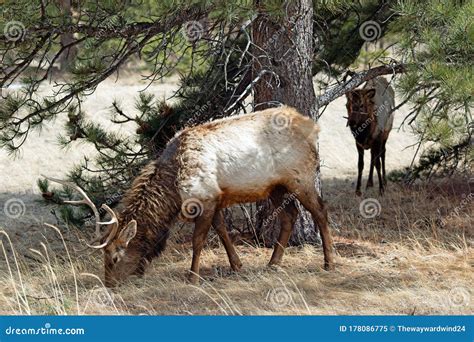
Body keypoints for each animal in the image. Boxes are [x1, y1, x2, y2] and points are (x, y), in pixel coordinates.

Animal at [43, 106, 334, 286]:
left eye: (114, 257)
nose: (109, 285)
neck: (174, 187)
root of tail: (312, 127)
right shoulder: (215, 199)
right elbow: (222, 232)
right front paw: (237, 266)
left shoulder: (204, 198)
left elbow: (198, 240)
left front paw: (193, 277)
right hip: (275, 186)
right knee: (290, 215)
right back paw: (273, 263)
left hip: (302, 177)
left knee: (320, 210)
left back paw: (329, 263)